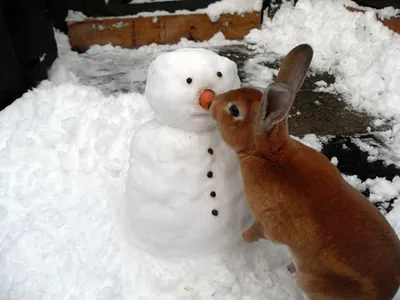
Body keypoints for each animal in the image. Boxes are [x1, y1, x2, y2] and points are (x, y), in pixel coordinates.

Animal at [208, 44, 400, 300]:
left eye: (234, 110)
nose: (212, 103)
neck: (270, 155)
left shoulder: (269, 223)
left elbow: (260, 231)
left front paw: (243, 238)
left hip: (312, 282)